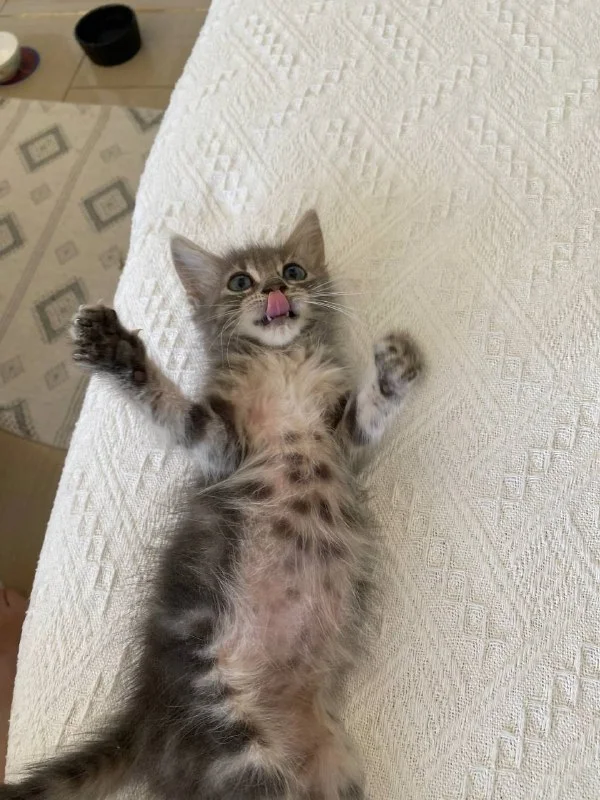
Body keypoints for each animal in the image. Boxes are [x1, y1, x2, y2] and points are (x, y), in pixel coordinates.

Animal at [0, 210, 421, 800]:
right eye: (240, 281)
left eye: (294, 270)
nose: (274, 289)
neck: (281, 361)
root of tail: (143, 719)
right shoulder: (222, 447)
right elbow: (173, 409)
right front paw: (117, 353)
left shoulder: (342, 440)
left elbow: (369, 411)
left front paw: (394, 370)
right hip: (225, 731)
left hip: (332, 770)